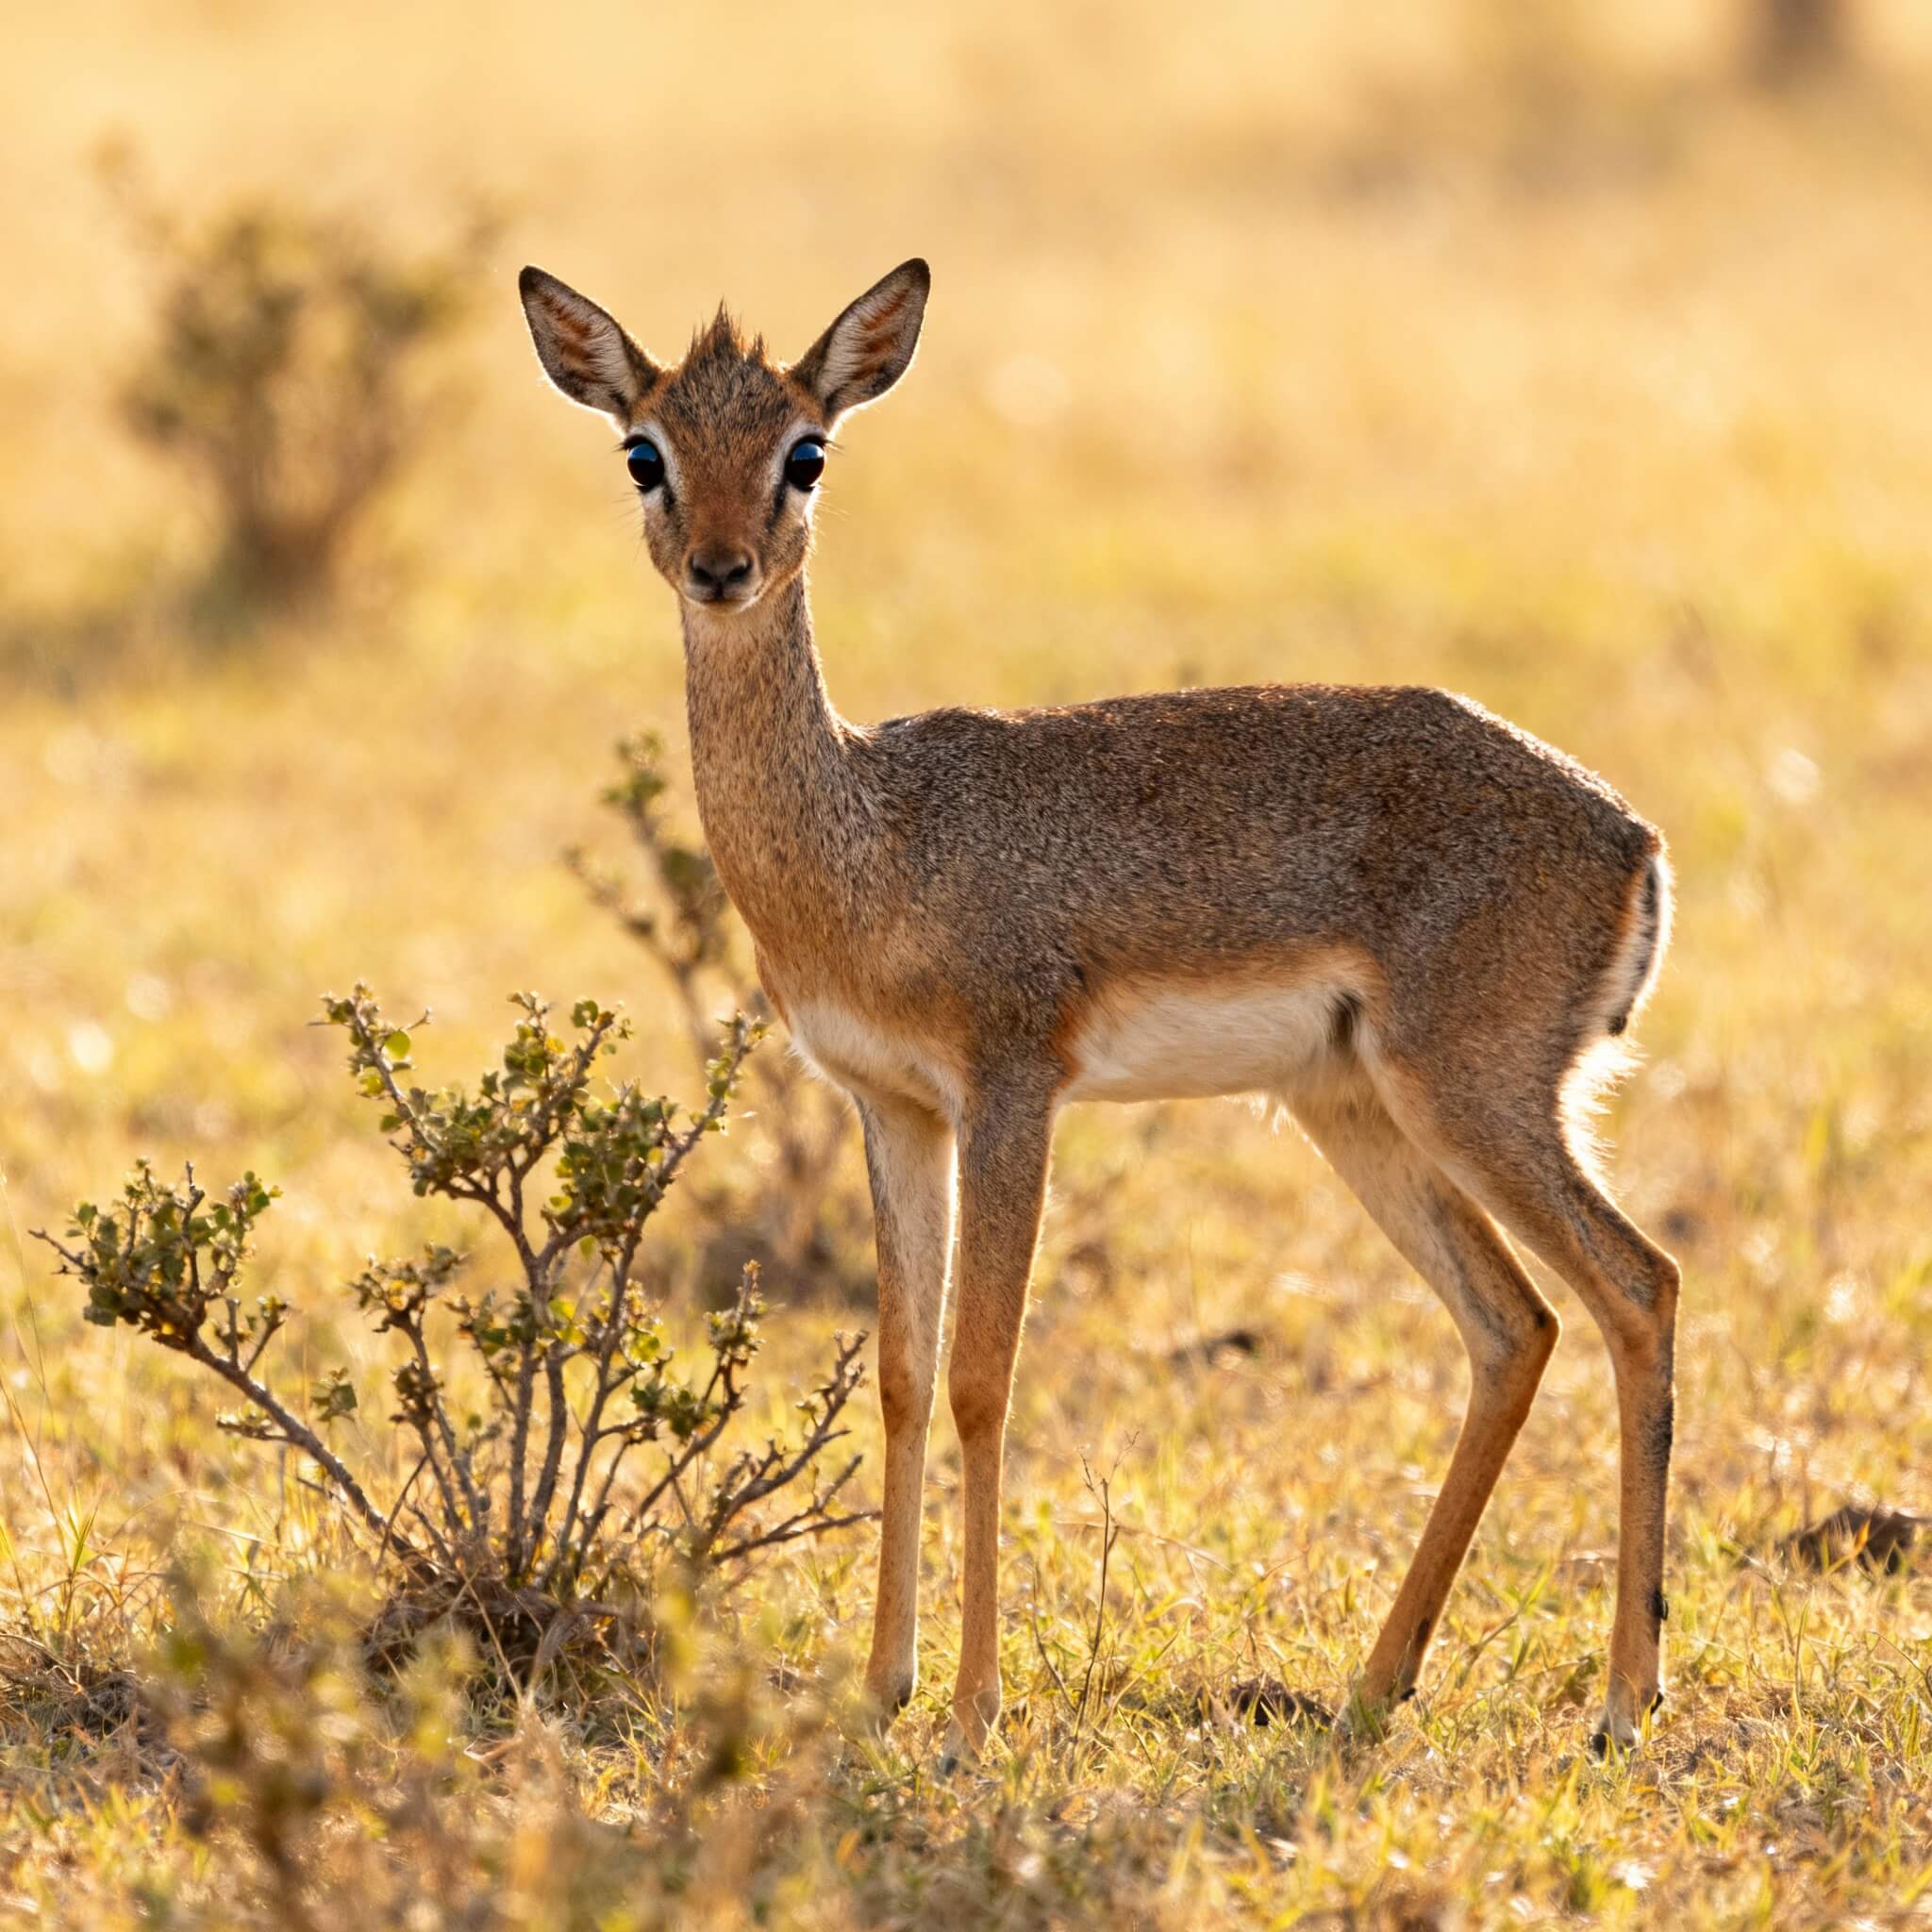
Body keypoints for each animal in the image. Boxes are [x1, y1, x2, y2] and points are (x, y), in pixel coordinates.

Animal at [519, 258, 1681, 1759]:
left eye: (805, 451)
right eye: (645, 450)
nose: (723, 570)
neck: (874, 840)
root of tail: (1629, 837)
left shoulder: (1012, 1091)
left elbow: (982, 1375)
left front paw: (969, 1713)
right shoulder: (892, 1108)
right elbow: (900, 1375)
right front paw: (882, 1686)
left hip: (1474, 1099)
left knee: (1636, 1289)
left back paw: (1623, 1700)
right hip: (1357, 1111)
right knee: (1513, 1327)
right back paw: (1374, 1685)